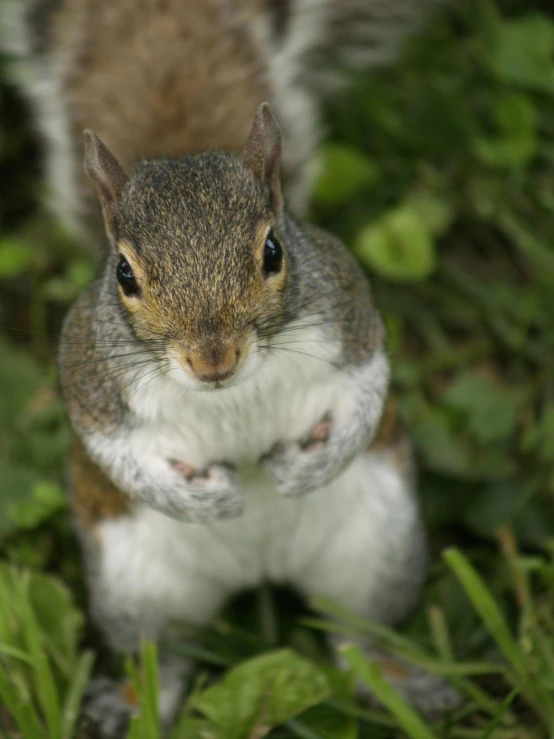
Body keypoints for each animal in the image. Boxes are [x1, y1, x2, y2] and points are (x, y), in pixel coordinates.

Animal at [1, 0, 458, 736]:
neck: (230, 391)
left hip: (376, 552)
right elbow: (113, 449)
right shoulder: (88, 374)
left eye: (273, 250)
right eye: (123, 273)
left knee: (354, 637)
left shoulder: (353, 316)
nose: (211, 358)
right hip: (136, 590)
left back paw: (399, 682)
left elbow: (366, 393)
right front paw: (201, 496)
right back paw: (132, 703)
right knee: (165, 656)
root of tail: (259, 569)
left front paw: (305, 467)